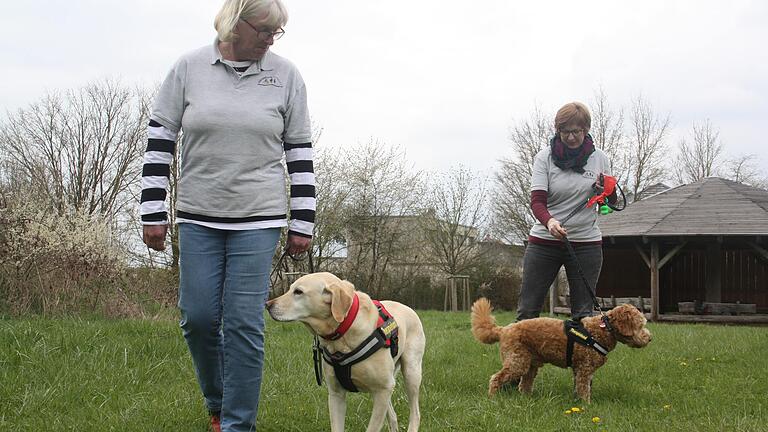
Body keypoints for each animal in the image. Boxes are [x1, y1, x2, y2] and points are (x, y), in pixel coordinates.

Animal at [472, 296, 652, 402]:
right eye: (640, 325)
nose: (650, 338)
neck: (602, 330)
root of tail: (503, 330)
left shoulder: (579, 369)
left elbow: (580, 387)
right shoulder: (584, 369)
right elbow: (583, 389)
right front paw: (586, 406)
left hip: (530, 364)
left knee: (524, 384)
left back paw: (526, 399)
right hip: (517, 361)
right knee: (496, 378)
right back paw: (493, 397)